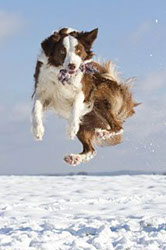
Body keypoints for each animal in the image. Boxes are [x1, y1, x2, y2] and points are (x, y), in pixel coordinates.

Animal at [31, 27, 139, 166]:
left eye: (78, 51)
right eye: (62, 51)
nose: (72, 65)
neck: (62, 74)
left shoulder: (85, 89)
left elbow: (76, 105)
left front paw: (71, 129)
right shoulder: (42, 90)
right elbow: (36, 108)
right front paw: (37, 130)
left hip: (99, 94)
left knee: (118, 126)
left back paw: (103, 133)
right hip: (86, 122)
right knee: (91, 150)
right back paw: (75, 158)